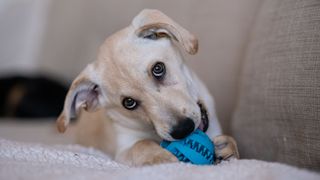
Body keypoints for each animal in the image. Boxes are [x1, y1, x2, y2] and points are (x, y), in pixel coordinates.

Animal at [56, 8, 239, 166]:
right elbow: (141, 144)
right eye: (129, 103)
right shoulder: (123, 149)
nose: (182, 130)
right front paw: (160, 157)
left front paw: (226, 146)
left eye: (158, 69)